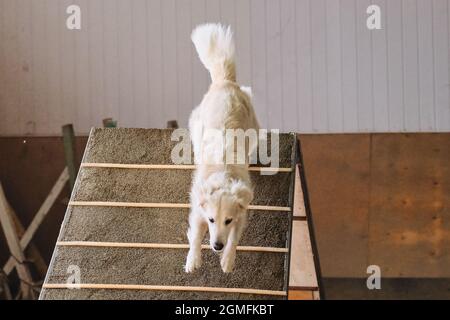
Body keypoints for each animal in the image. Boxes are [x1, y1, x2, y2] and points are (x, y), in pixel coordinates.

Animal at [184, 23, 260, 272]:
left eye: (228, 220)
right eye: (211, 220)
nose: (217, 246)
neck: (223, 174)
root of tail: (225, 82)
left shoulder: (241, 214)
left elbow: (234, 237)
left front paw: (227, 259)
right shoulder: (198, 209)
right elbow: (196, 235)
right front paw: (193, 260)